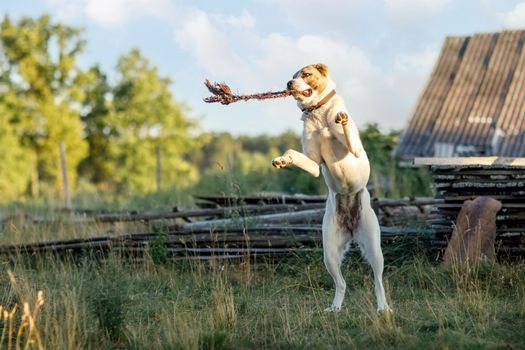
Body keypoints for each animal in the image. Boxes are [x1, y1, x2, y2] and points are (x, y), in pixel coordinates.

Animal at [272, 63, 390, 312]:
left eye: (306, 74)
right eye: (292, 76)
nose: (288, 83)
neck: (318, 112)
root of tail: (351, 228)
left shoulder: (355, 150)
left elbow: (349, 136)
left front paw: (341, 120)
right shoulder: (313, 164)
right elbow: (293, 153)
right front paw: (282, 160)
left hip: (374, 249)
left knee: (378, 281)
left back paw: (383, 308)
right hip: (329, 253)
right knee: (341, 283)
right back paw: (334, 308)